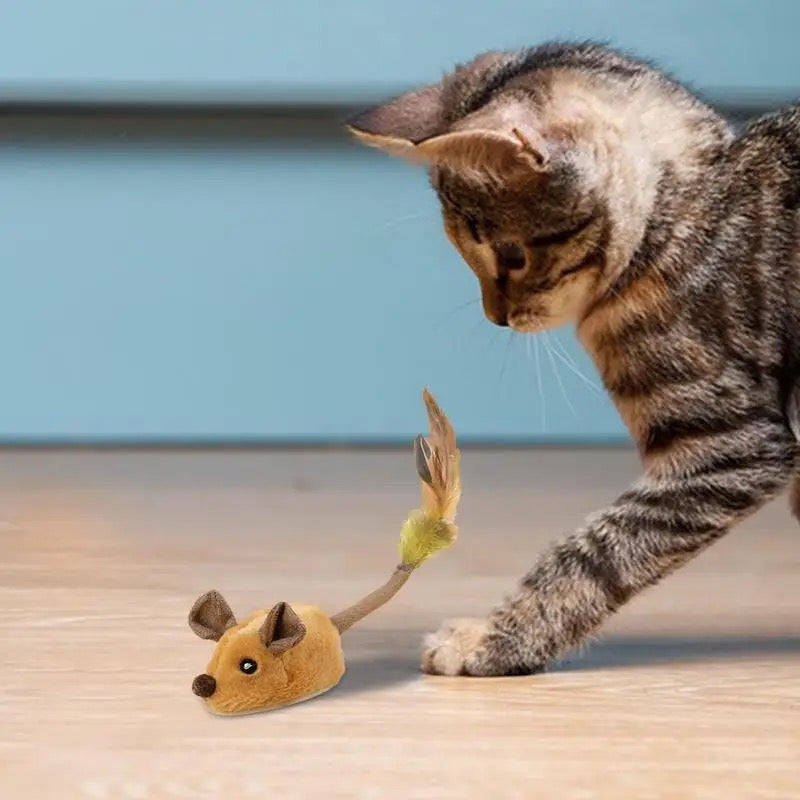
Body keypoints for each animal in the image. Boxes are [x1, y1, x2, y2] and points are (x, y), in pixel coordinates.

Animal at [348, 39, 800, 676]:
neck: (681, 211)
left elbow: (599, 551)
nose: (496, 316)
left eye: (511, 256)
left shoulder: (732, 445)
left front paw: (494, 638)